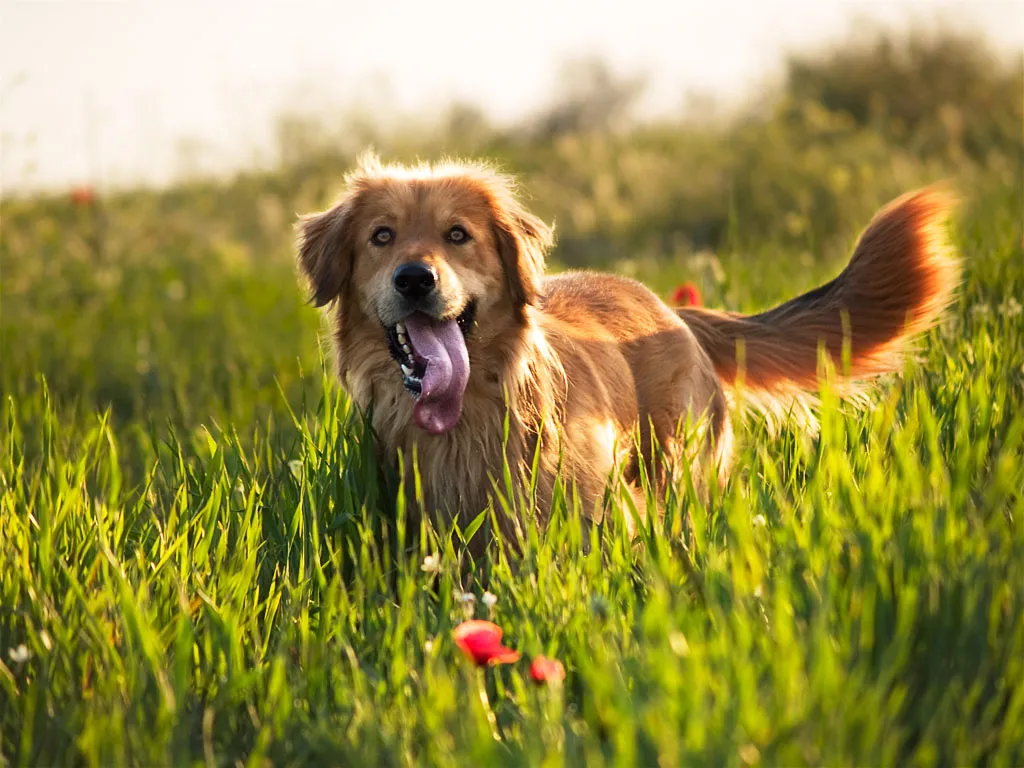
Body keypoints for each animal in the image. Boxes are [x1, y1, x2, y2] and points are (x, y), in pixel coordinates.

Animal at [296, 153, 958, 544]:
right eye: (381, 236)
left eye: (458, 234)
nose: (414, 279)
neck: (467, 418)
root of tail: (673, 312)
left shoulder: (602, 509)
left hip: (681, 465)